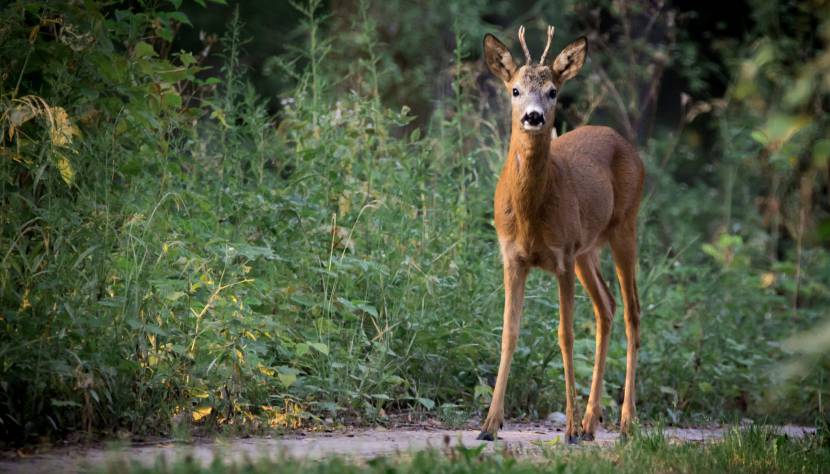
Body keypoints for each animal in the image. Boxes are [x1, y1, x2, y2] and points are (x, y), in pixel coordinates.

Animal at [478, 24, 648, 442]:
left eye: (553, 91)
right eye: (515, 90)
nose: (534, 117)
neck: (530, 216)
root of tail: (626, 143)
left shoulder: (562, 255)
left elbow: (566, 335)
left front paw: (567, 427)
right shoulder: (512, 257)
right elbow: (509, 332)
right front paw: (489, 424)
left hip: (624, 226)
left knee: (632, 311)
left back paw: (624, 421)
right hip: (588, 249)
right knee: (607, 306)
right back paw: (590, 422)